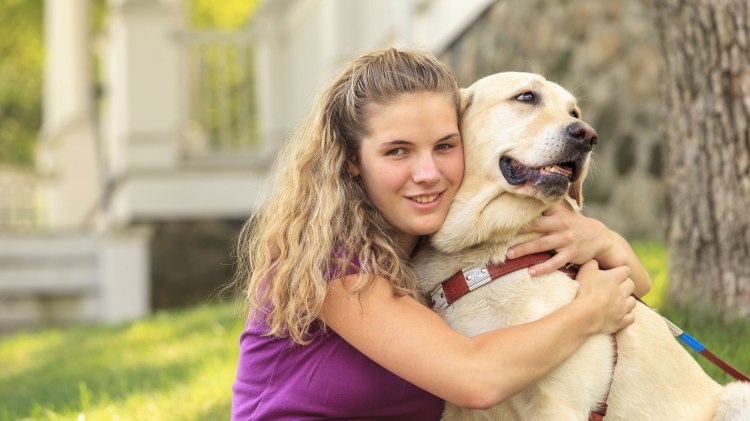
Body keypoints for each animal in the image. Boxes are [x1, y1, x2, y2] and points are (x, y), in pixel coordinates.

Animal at [414, 71, 748, 416]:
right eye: (526, 97)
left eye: (574, 112)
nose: (588, 135)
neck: (486, 255)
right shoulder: (459, 407)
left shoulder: (557, 402)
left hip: (738, 395)